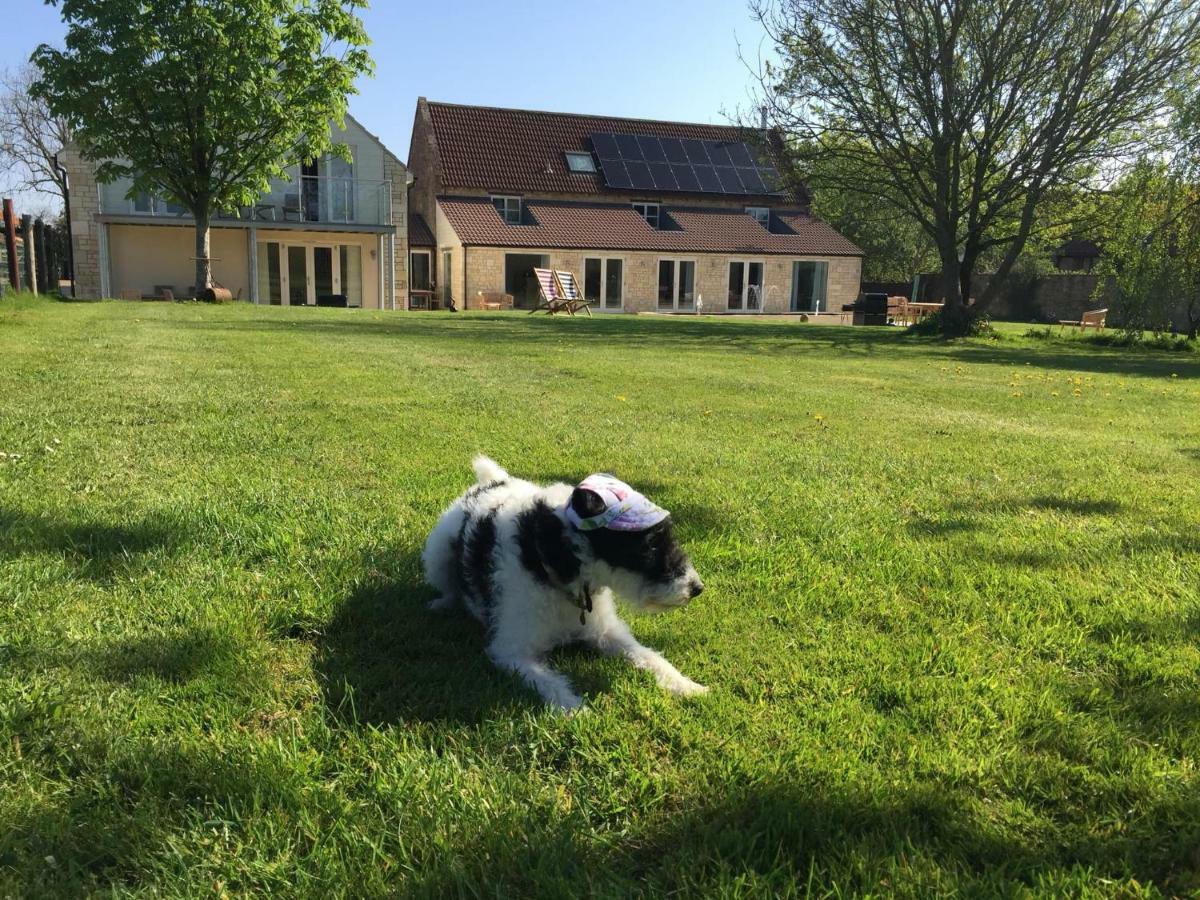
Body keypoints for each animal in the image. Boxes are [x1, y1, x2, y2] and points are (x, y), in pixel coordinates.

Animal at [422, 458, 705, 710]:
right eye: (650, 545)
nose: (697, 588)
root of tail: (492, 480)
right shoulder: (513, 651)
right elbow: (551, 683)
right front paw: (576, 710)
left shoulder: (605, 632)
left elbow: (647, 655)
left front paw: (687, 686)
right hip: (437, 554)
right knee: (449, 588)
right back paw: (443, 603)